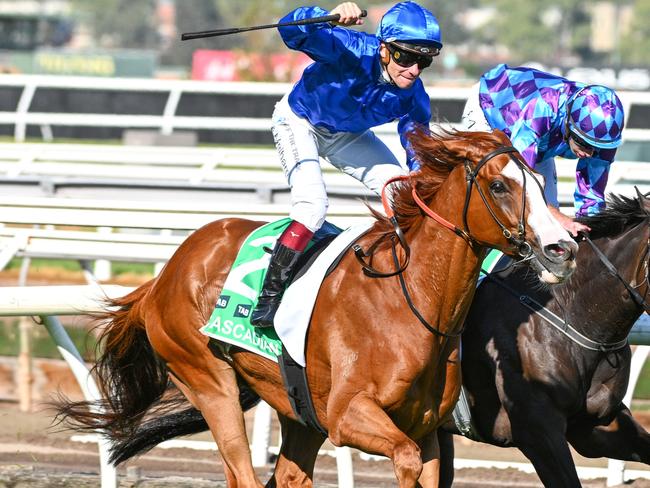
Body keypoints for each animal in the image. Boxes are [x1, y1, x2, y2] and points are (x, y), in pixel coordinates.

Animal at [53, 127, 576, 486]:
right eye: (500, 186)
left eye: (539, 181)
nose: (562, 248)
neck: (410, 304)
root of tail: (167, 272)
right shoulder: (348, 415)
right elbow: (401, 457)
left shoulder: (426, 429)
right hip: (207, 379)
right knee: (241, 472)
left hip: (297, 408)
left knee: (287, 475)